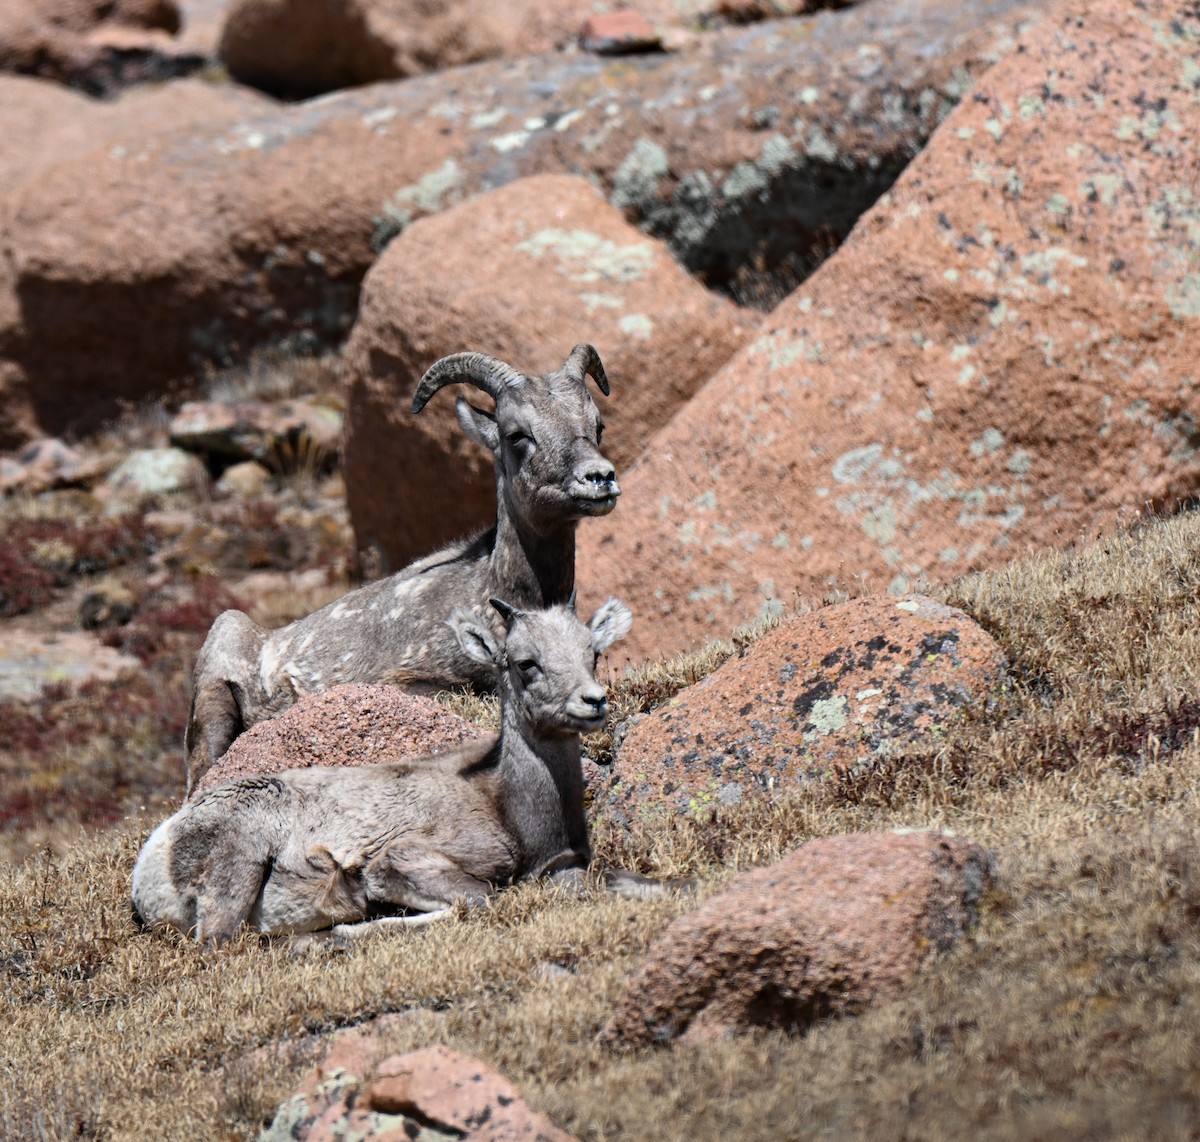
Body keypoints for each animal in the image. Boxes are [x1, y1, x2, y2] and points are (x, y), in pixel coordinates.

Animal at [135, 595, 661, 945]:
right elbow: (480, 900)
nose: (593, 702)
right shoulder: (401, 862)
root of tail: (152, 860)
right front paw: (361, 927)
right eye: (525, 663)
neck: (507, 806)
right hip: (239, 862)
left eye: (593, 653)